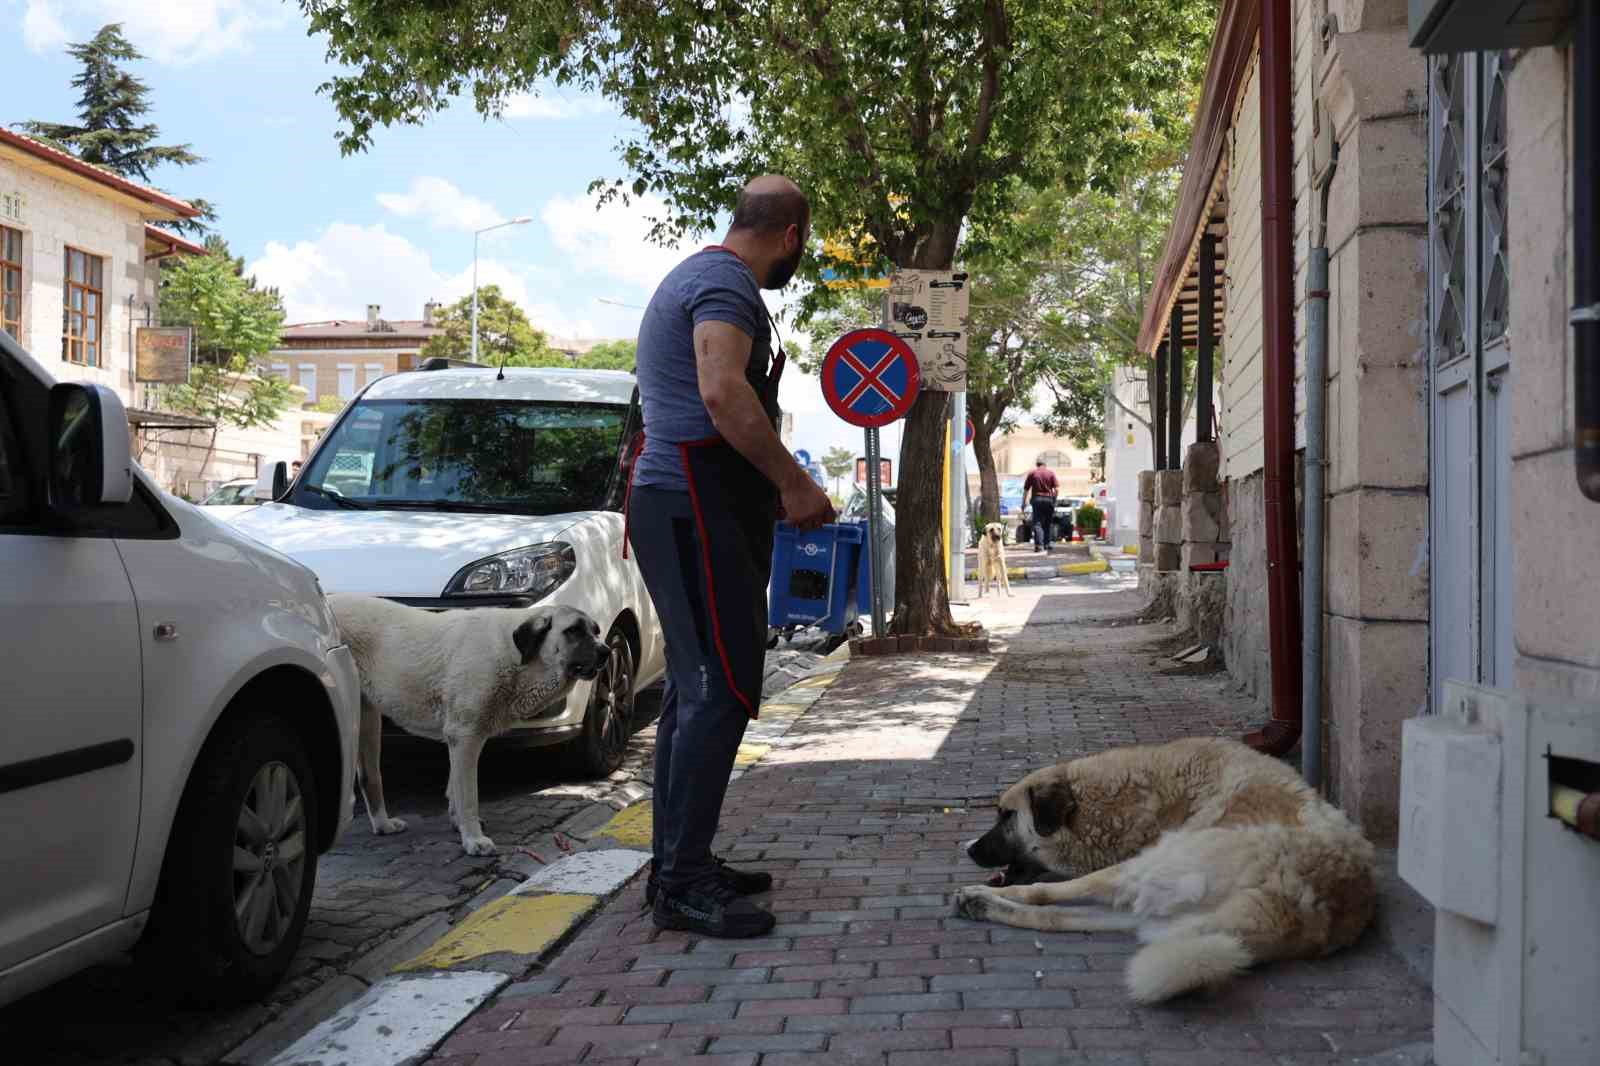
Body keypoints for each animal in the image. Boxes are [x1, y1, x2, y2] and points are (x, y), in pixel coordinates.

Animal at [328, 592, 608, 851]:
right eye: (573, 631)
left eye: (596, 630)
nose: (606, 651)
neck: (515, 655)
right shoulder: (465, 738)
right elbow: (469, 796)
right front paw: (473, 839)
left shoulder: (463, 739)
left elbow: (455, 790)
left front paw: (458, 824)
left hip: (366, 718)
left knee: (370, 778)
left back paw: (383, 825)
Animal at [947, 736, 1376, 998]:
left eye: (1006, 816)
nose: (969, 850)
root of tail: (1300, 900)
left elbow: (1041, 889)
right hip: (1154, 911)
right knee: (1057, 918)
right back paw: (980, 905)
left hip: (1144, 867)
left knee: (1044, 896)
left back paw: (978, 897)